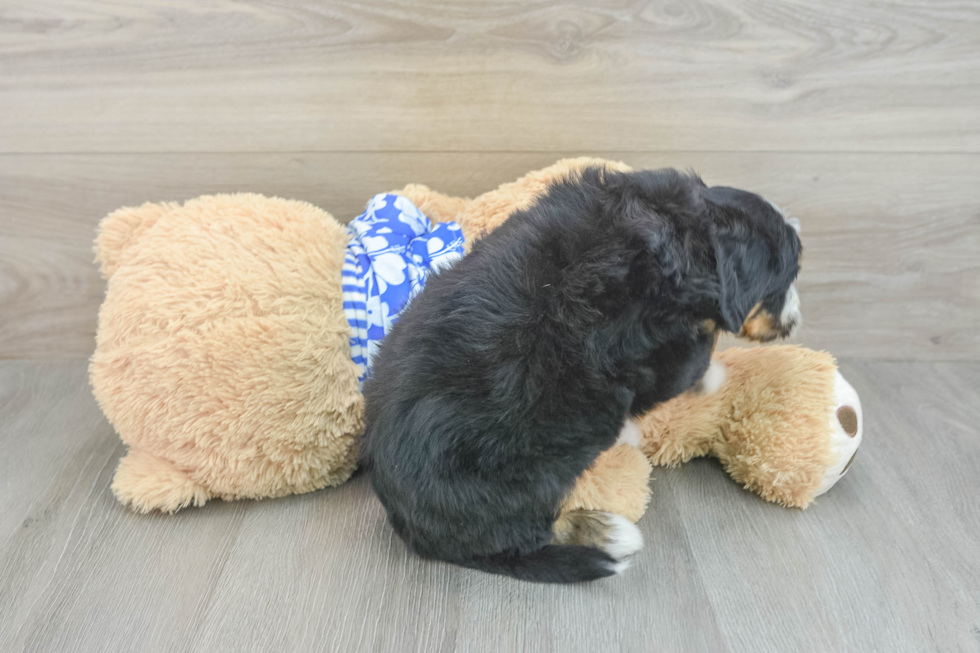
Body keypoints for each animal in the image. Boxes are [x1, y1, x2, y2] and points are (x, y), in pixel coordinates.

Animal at [360, 166, 804, 584]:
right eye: (786, 280)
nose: (796, 320)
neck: (690, 231)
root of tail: (408, 524)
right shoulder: (656, 350)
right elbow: (691, 359)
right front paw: (712, 375)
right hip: (522, 478)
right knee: (525, 534)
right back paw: (610, 532)